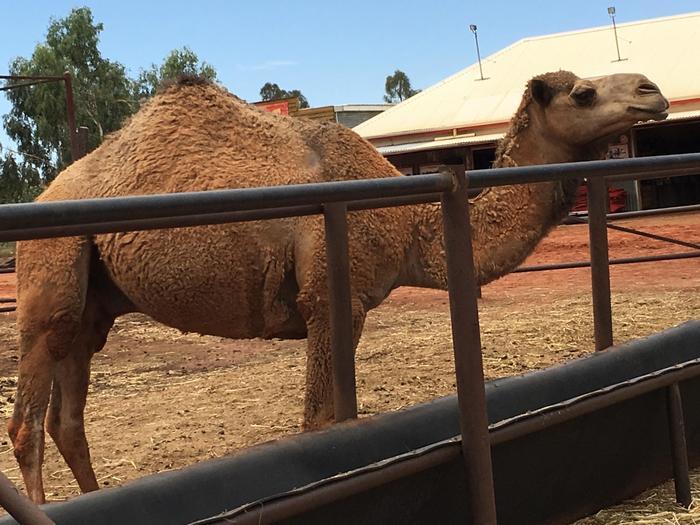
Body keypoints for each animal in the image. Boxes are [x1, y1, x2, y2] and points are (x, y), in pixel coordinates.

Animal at [9, 71, 668, 502]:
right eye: (583, 92)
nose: (652, 91)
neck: (409, 223)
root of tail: (42, 199)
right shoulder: (329, 301)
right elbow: (318, 426)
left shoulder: (351, 310)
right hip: (48, 271)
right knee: (26, 424)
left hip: (92, 303)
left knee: (67, 417)